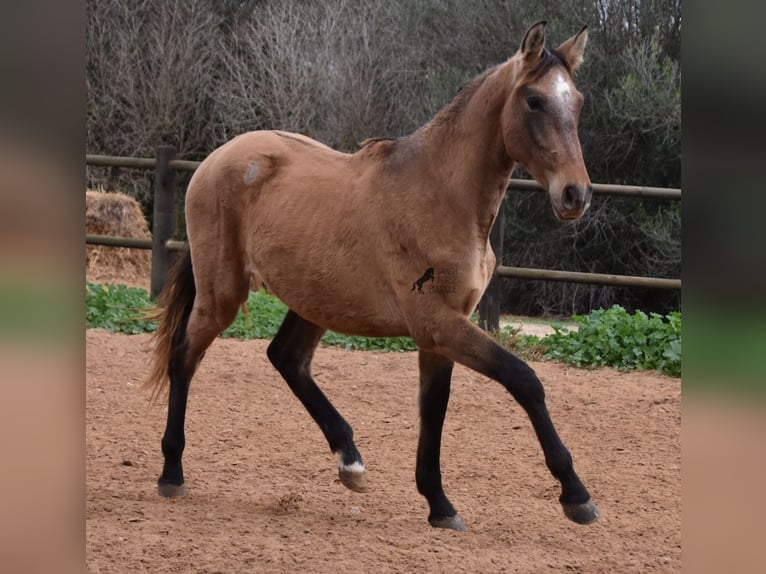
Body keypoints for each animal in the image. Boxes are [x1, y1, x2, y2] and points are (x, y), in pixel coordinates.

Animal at [144, 22, 600, 536]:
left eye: (577, 101)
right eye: (534, 101)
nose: (575, 195)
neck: (442, 195)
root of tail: (214, 159)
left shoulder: (440, 332)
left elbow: (434, 409)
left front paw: (439, 504)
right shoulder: (438, 323)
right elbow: (524, 380)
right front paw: (576, 496)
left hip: (315, 299)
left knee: (286, 358)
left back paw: (351, 462)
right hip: (222, 293)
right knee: (184, 357)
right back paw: (172, 472)